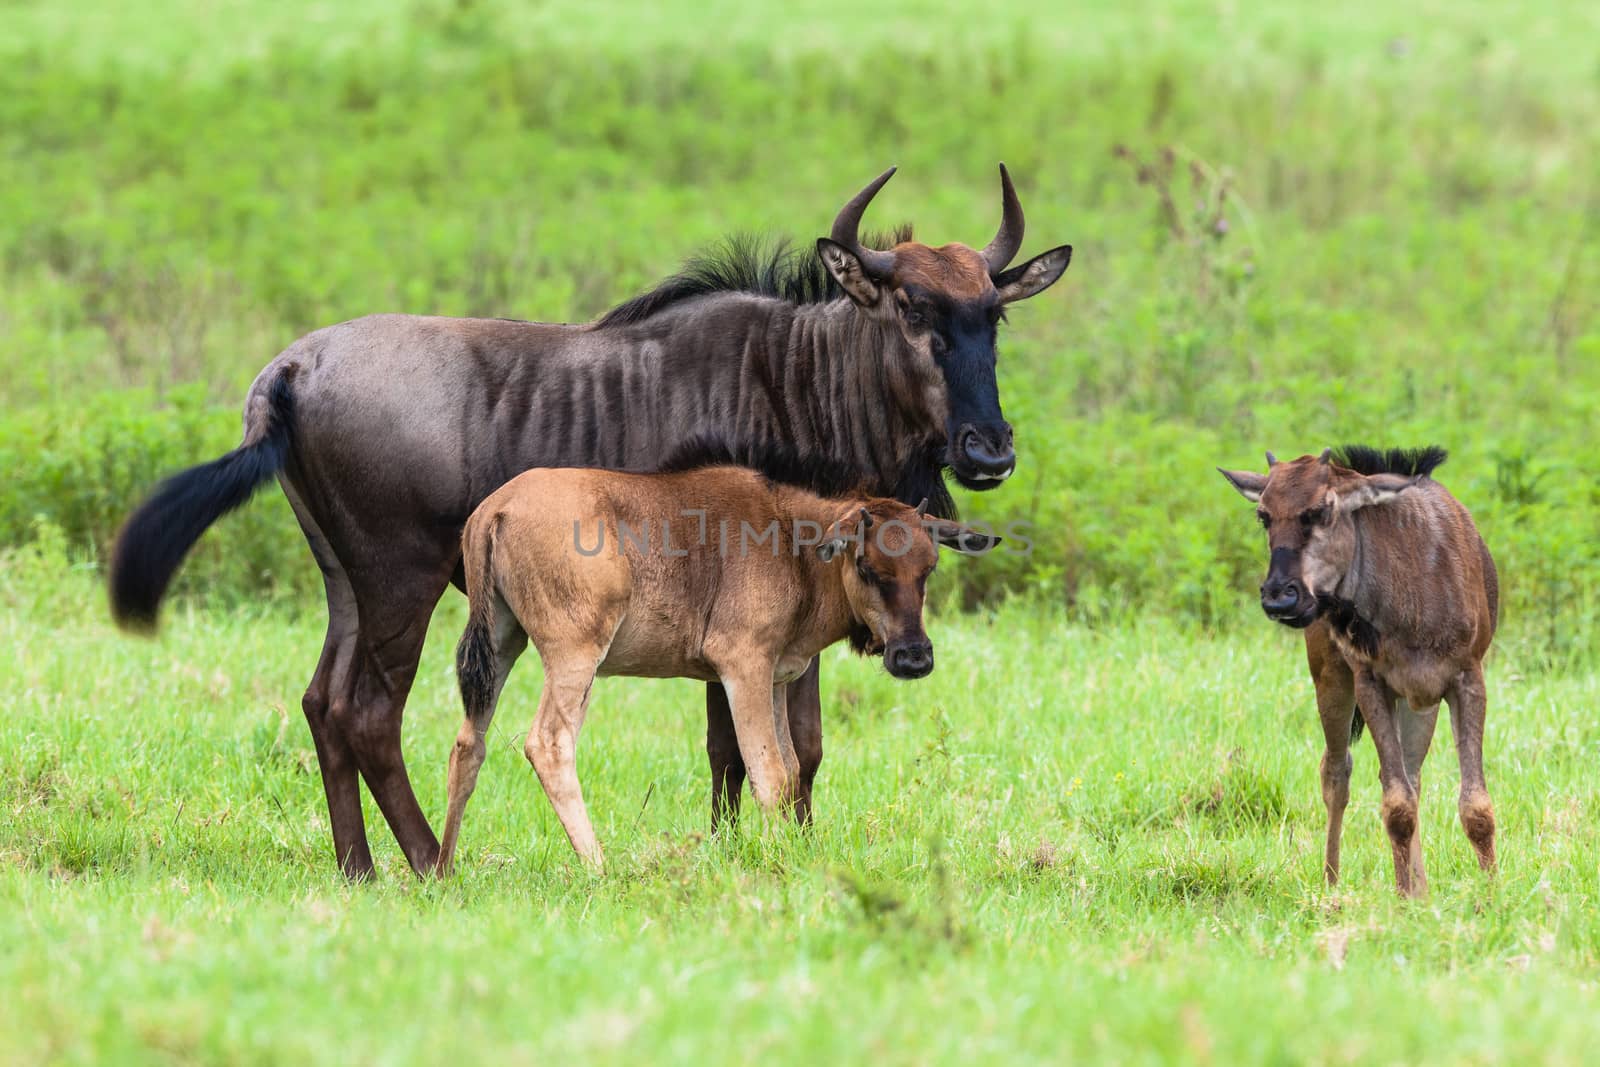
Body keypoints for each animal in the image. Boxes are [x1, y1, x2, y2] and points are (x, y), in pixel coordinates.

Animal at [432, 451, 992, 870]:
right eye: (867, 566)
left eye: (929, 567)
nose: (913, 656)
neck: (793, 543)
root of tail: (494, 510)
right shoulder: (742, 667)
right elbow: (769, 773)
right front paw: (778, 861)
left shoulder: (775, 678)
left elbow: (791, 768)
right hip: (575, 654)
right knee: (548, 743)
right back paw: (598, 866)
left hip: (502, 643)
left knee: (467, 745)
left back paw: (443, 870)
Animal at [1222, 447, 1497, 895]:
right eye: (1264, 515)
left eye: (1321, 510)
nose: (1280, 598)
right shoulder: (1371, 682)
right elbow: (1397, 806)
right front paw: (1403, 898)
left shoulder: (1464, 679)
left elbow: (1473, 806)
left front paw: (1491, 897)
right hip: (1332, 680)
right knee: (1337, 771)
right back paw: (1332, 884)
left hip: (1417, 701)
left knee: (1411, 776)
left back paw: (1421, 890)